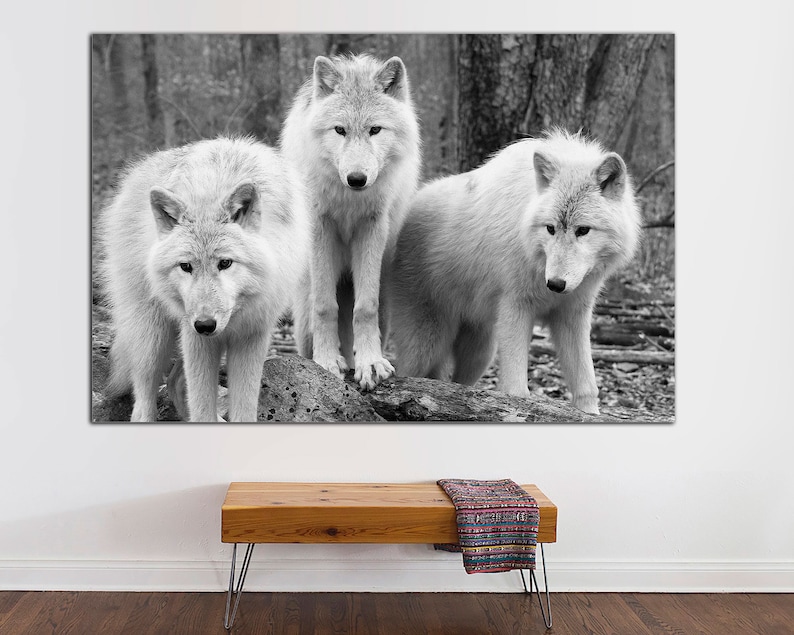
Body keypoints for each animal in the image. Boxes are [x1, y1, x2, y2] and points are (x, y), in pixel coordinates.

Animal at [99, 137, 310, 422]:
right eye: (186, 266)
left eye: (225, 263)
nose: (205, 324)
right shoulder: (196, 339)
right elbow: (201, 409)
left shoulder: (252, 336)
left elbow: (243, 410)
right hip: (153, 336)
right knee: (144, 394)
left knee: (175, 383)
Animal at [280, 54, 421, 390]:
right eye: (340, 130)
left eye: (375, 130)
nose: (357, 179)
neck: (348, 198)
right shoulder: (321, 228)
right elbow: (325, 306)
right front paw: (327, 362)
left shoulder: (371, 228)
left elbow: (365, 308)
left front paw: (370, 364)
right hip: (304, 311)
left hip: (382, 292)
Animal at [389, 130, 641, 414]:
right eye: (550, 229)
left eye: (583, 230)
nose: (555, 284)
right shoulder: (516, 307)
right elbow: (515, 389)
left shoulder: (572, 314)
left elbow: (587, 384)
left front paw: (589, 413)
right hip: (427, 345)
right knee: (406, 374)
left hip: (481, 351)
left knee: (456, 382)